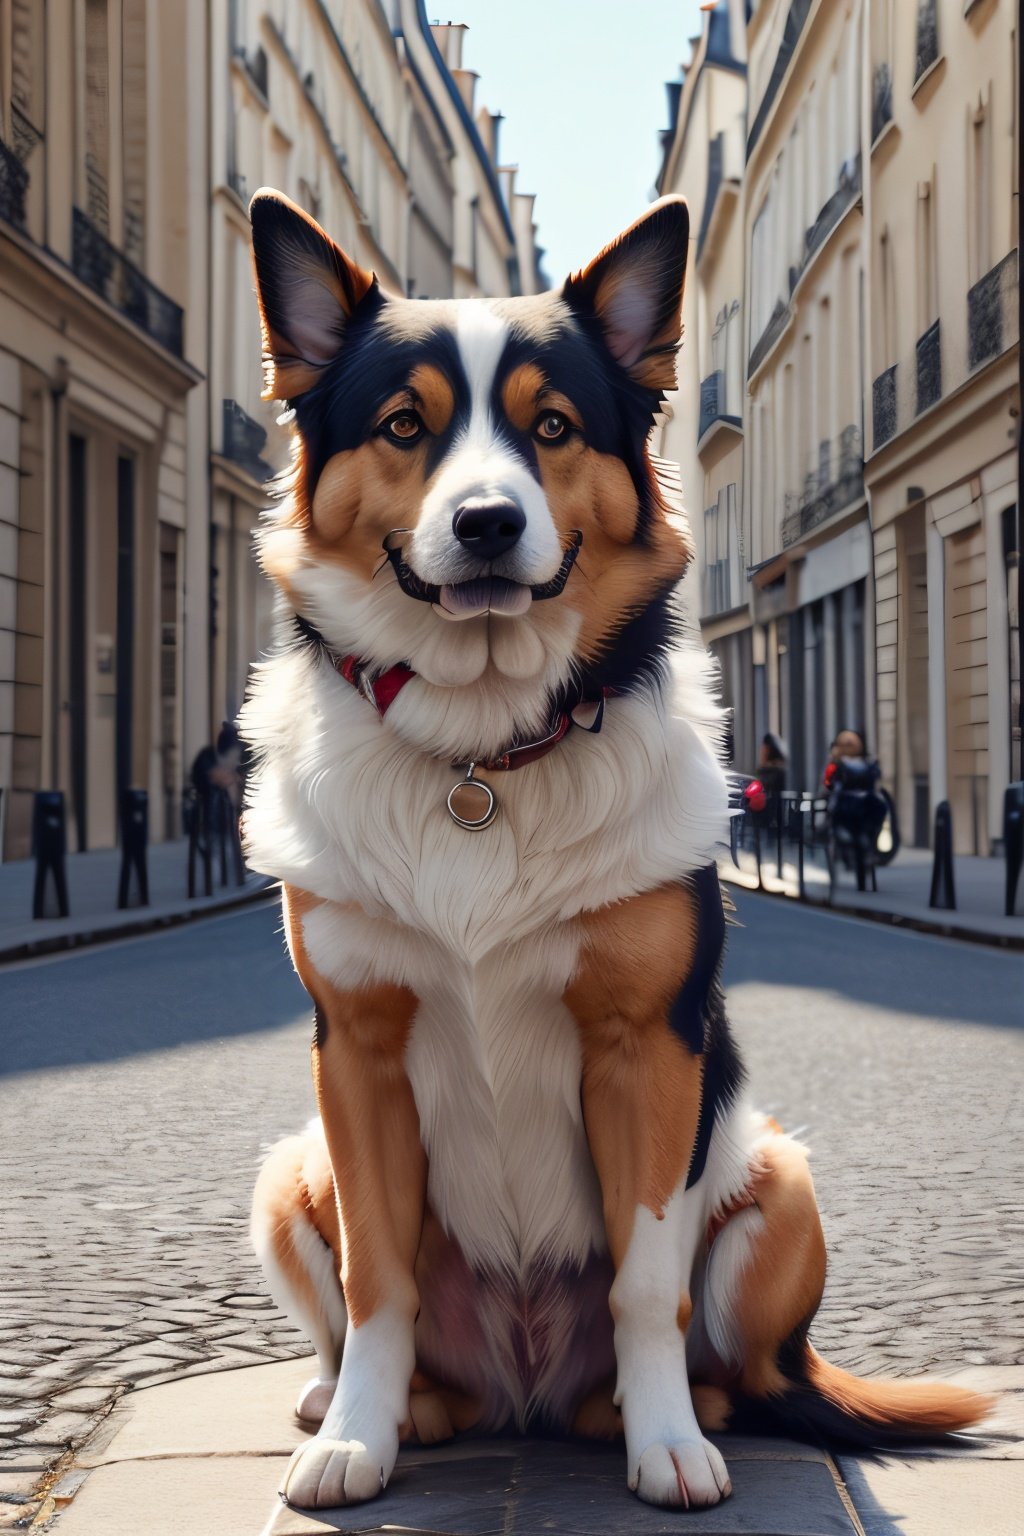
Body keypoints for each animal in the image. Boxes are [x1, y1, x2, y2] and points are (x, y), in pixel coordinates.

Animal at [242, 192, 994, 1511]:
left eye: (551, 425)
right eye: (402, 426)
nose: (487, 522)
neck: (483, 753)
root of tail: (524, 1391)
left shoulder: (645, 1052)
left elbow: (647, 1287)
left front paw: (668, 1447)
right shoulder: (359, 1058)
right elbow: (376, 1280)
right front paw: (357, 1437)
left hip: (778, 1180)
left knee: (747, 1371)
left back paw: (659, 1412)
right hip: (291, 1171)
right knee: (370, 1324)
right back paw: (374, 1405)